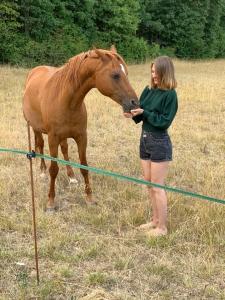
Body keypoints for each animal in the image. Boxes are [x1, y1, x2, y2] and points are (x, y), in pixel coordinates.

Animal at [23, 47, 139, 211]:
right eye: (115, 75)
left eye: (126, 73)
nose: (134, 103)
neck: (66, 100)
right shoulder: (53, 138)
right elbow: (54, 169)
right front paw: (51, 201)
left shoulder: (81, 137)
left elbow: (84, 166)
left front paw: (89, 197)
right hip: (36, 128)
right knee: (40, 145)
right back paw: (42, 171)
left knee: (64, 149)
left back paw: (71, 176)